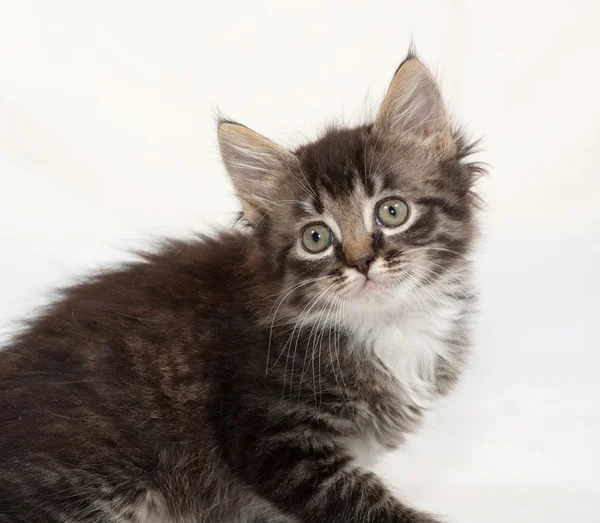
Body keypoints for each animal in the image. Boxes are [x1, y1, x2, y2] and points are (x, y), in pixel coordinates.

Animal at [0, 54, 480, 523]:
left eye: (392, 211)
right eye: (316, 238)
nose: (361, 262)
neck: (383, 324)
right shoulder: (271, 438)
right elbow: (365, 505)